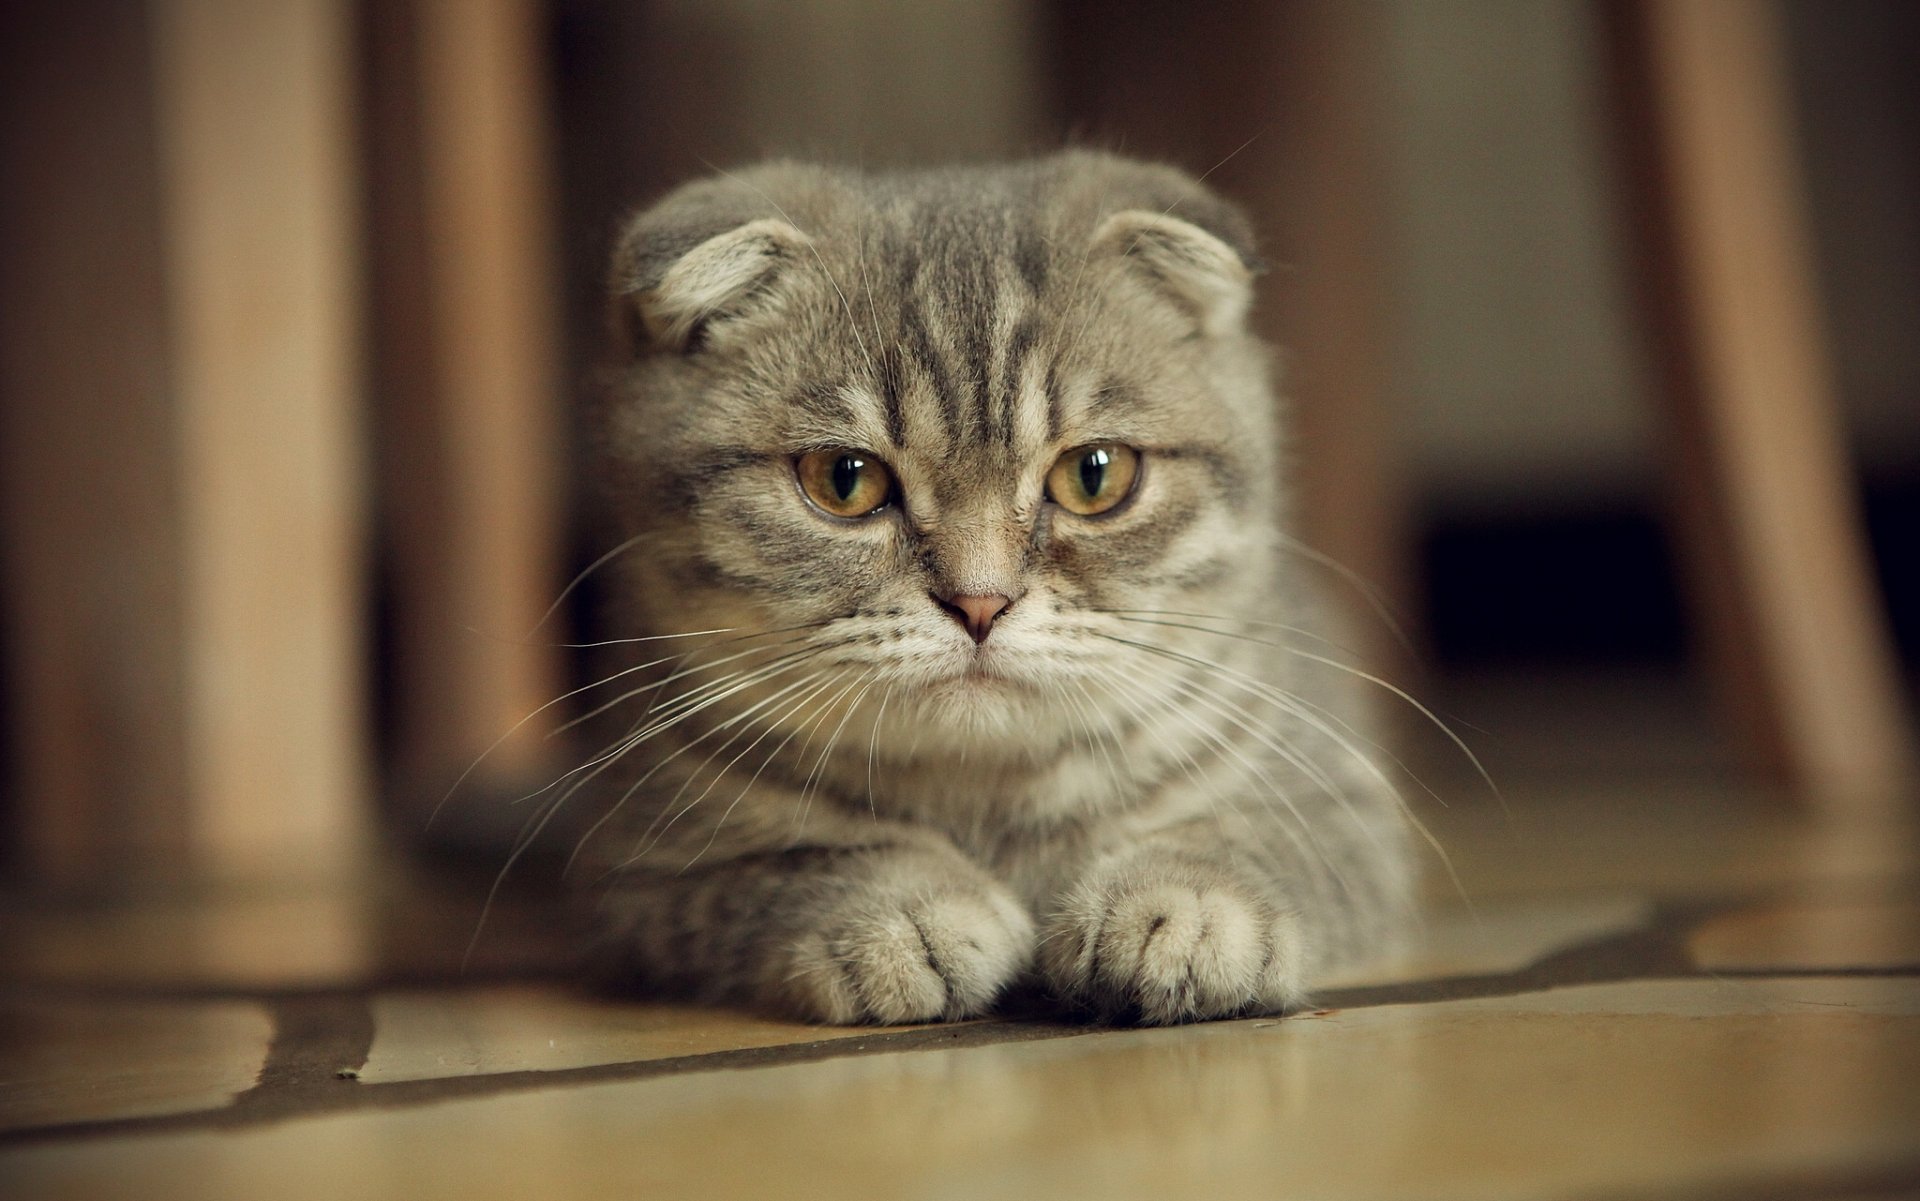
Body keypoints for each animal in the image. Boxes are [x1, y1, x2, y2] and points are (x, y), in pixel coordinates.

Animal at [568, 149, 1413, 1020]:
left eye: (1094, 475)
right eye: (844, 479)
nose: (980, 601)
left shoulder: (1346, 808)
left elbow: (1244, 837)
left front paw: (1183, 904)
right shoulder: (637, 873)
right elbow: (795, 864)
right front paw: (904, 911)